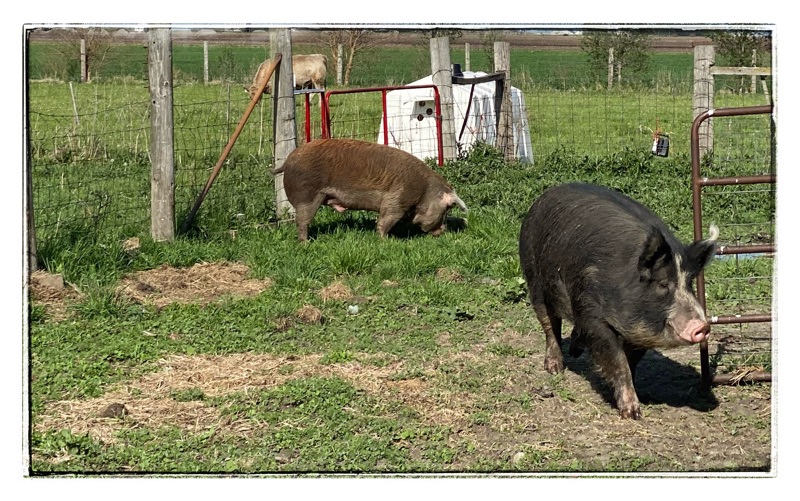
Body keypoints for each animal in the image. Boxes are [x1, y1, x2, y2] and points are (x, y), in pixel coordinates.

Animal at [272, 139, 468, 241]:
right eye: (446, 210)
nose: (443, 231)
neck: (423, 191)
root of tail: (287, 162)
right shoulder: (397, 198)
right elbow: (385, 219)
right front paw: (385, 240)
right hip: (307, 194)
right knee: (302, 221)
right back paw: (306, 243)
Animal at [518, 182, 719, 419]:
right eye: (662, 284)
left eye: (689, 283)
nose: (702, 326)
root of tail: (545, 196)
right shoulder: (592, 312)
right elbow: (617, 359)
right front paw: (632, 414)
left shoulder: (638, 336)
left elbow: (630, 362)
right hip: (534, 278)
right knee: (550, 324)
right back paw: (554, 368)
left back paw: (575, 350)